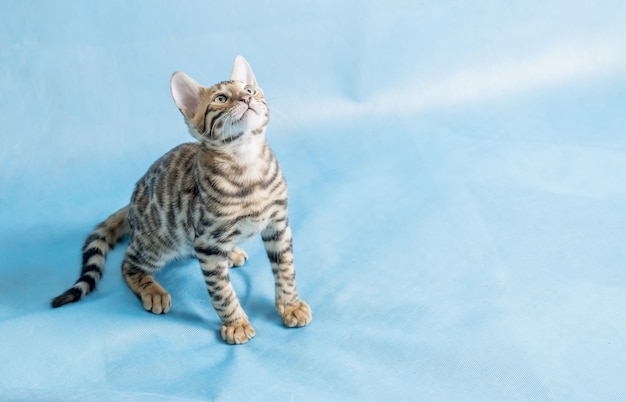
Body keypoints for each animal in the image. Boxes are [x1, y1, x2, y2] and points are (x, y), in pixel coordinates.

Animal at [52, 55, 310, 346]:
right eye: (221, 98)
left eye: (249, 90)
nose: (246, 98)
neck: (247, 163)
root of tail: (131, 204)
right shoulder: (209, 243)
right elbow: (221, 290)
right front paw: (236, 323)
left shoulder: (278, 225)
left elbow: (285, 269)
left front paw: (290, 305)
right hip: (157, 243)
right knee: (128, 263)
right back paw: (153, 290)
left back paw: (232, 253)